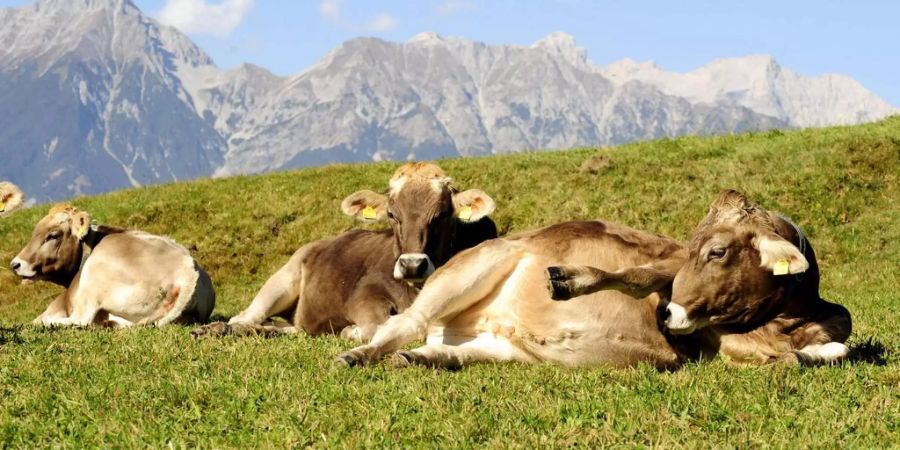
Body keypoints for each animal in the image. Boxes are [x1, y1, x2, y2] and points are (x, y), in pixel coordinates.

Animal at [336, 190, 852, 370]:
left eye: (718, 251)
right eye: (693, 247)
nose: (669, 314)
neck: (787, 319)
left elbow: (835, 345)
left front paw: (814, 352)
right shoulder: (679, 291)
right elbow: (637, 275)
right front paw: (573, 279)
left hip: (504, 346)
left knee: (453, 348)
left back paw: (422, 358)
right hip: (476, 267)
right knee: (406, 321)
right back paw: (360, 354)